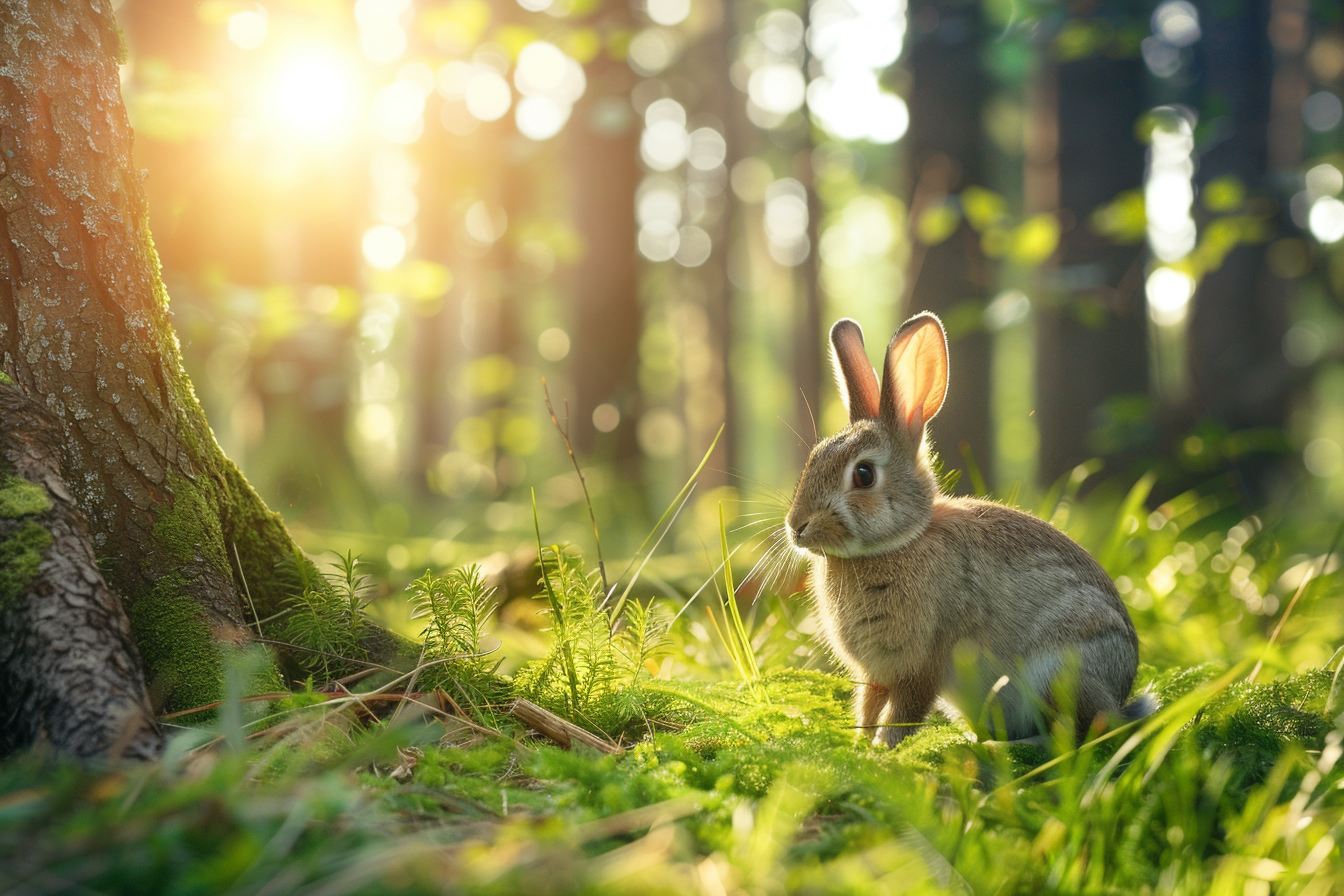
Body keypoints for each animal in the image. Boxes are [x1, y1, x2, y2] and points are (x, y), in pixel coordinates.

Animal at [785, 312, 1156, 747]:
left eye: (863, 475)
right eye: (813, 459)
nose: (796, 527)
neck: (899, 542)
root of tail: (1122, 690)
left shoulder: (923, 664)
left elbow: (903, 713)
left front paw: (882, 750)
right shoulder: (875, 675)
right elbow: (868, 707)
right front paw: (860, 746)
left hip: (1063, 670)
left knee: (1082, 730)